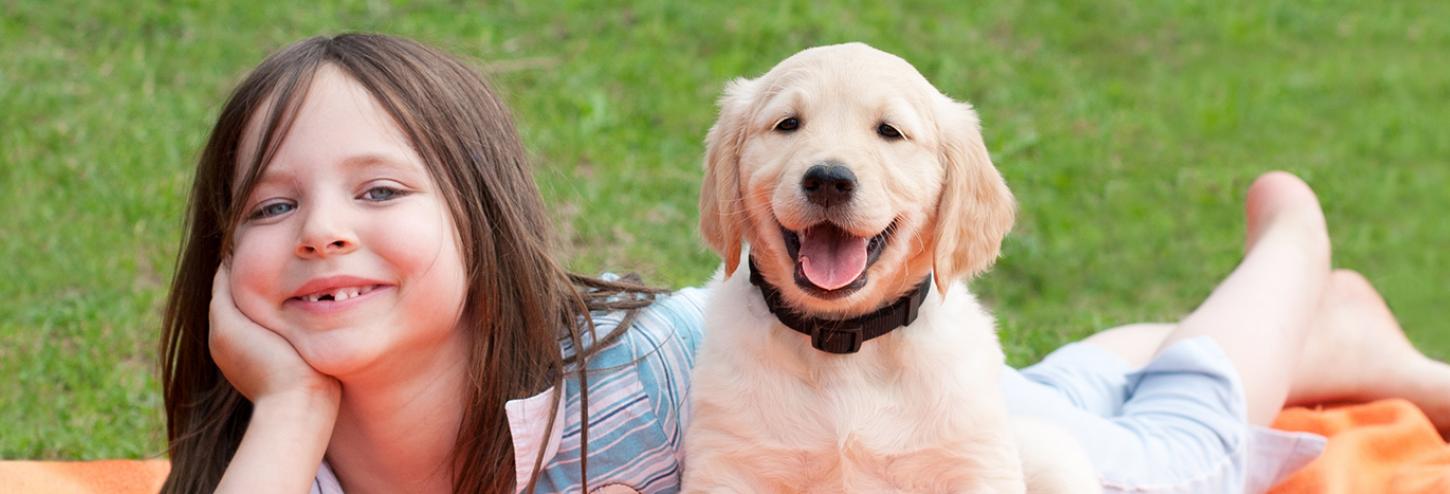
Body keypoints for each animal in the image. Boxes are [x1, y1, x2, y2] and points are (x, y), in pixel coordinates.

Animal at [684, 43, 1090, 492]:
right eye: (788, 124)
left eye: (890, 131)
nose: (828, 180)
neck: (845, 339)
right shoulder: (727, 462)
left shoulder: (976, 463)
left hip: (1052, 453)